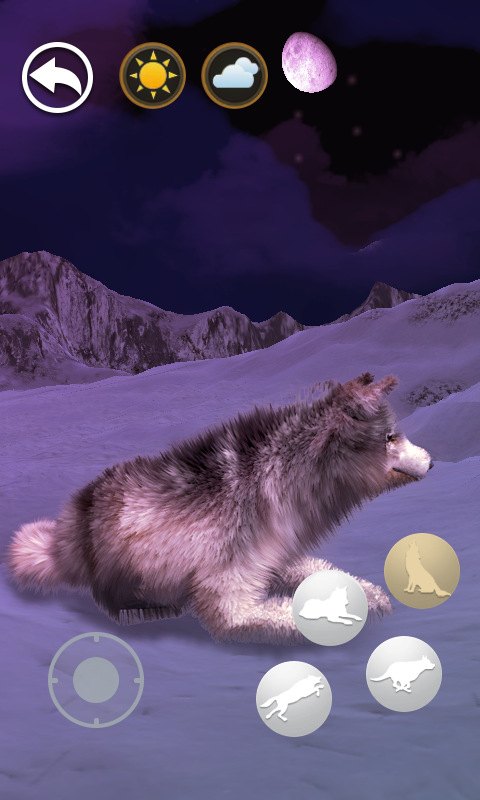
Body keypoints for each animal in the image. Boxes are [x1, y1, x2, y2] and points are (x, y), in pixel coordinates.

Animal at [6, 372, 433, 645]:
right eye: (391, 437)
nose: (431, 462)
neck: (279, 479)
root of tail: (70, 528)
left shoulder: (274, 554)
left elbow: (318, 570)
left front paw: (368, 593)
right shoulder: (227, 587)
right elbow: (269, 614)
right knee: (109, 598)